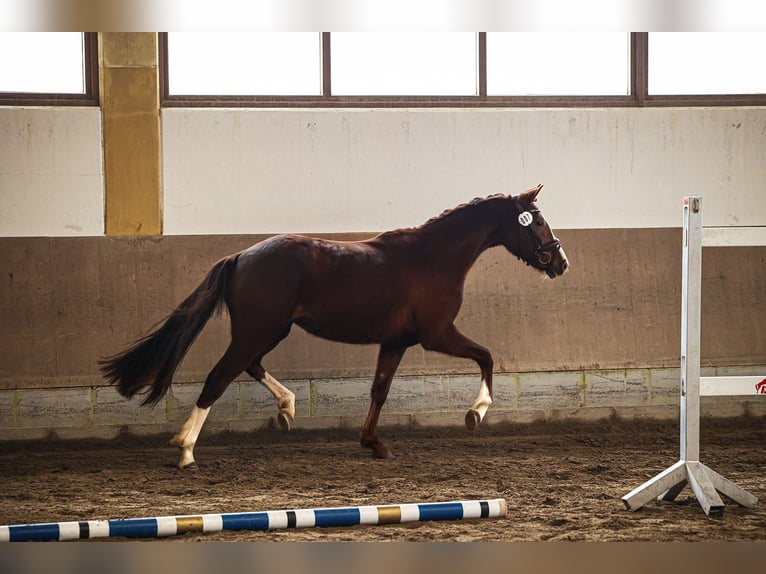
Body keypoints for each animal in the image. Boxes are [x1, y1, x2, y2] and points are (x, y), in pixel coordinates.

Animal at [99, 187, 568, 470]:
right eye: (537, 220)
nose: (561, 263)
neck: (433, 257)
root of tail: (241, 256)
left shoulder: (396, 342)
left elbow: (380, 391)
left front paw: (373, 443)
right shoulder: (436, 335)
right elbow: (487, 356)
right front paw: (476, 413)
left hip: (268, 331)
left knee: (249, 366)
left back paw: (286, 408)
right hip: (259, 330)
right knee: (219, 377)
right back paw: (185, 450)